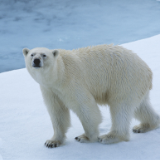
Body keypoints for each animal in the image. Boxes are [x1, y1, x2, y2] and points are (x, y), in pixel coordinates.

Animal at [22, 44, 160, 148]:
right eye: (32, 54)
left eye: (44, 55)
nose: (36, 61)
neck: (59, 73)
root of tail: (148, 71)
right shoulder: (50, 90)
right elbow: (57, 111)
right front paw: (52, 141)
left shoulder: (71, 82)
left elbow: (85, 106)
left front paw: (85, 137)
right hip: (135, 86)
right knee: (140, 107)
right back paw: (145, 125)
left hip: (124, 79)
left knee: (121, 107)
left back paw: (109, 137)